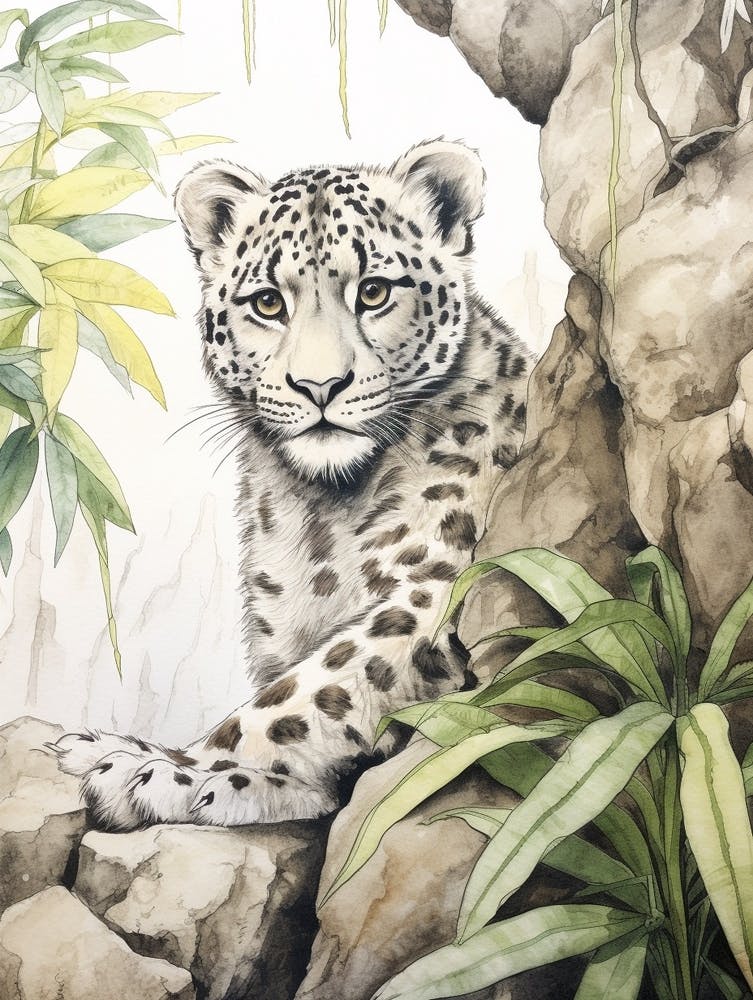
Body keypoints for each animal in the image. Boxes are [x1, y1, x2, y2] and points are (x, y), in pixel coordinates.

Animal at [48, 139, 533, 829]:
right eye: (268, 303)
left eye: (374, 291)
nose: (319, 385)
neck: (322, 511)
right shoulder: (281, 629)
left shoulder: (432, 590)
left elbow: (301, 699)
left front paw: (162, 770)